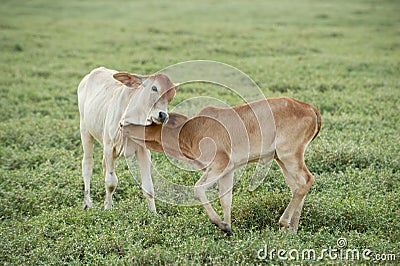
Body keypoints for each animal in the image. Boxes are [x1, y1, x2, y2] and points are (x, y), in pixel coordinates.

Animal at [77, 66, 177, 212]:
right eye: (154, 88)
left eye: (172, 96)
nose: (163, 115)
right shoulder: (109, 147)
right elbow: (111, 182)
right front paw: (107, 209)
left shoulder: (143, 150)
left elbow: (148, 187)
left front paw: (153, 214)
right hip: (85, 129)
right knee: (87, 165)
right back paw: (87, 203)